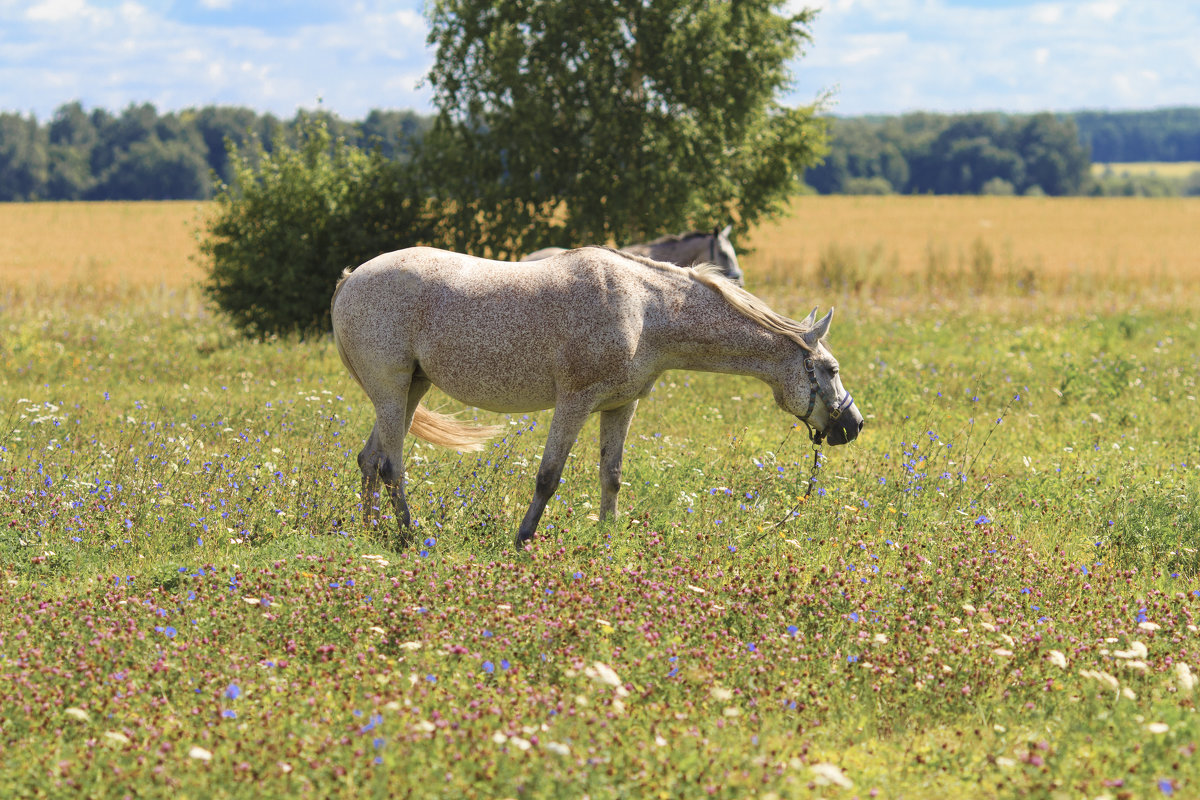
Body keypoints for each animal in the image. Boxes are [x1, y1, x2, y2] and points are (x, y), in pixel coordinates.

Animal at [328, 245, 859, 551]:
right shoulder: (574, 402)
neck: (646, 309)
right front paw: (522, 541)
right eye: (830, 370)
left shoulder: (621, 406)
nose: (853, 425)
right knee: (391, 465)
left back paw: (368, 533)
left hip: (409, 389)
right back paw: (409, 535)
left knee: (369, 460)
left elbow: (612, 476)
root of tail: (350, 278)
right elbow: (548, 477)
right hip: (392, 388)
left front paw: (607, 538)